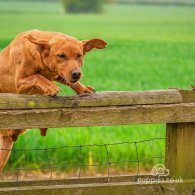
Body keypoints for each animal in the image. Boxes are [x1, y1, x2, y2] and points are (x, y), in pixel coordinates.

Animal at [0, 29, 106, 171]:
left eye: (79, 55)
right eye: (61, 55)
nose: (76, 74)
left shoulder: (59, 74)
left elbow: (68, 81)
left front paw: (83, 89)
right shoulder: (20, 82)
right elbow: (37, 76)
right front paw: (51, 87)